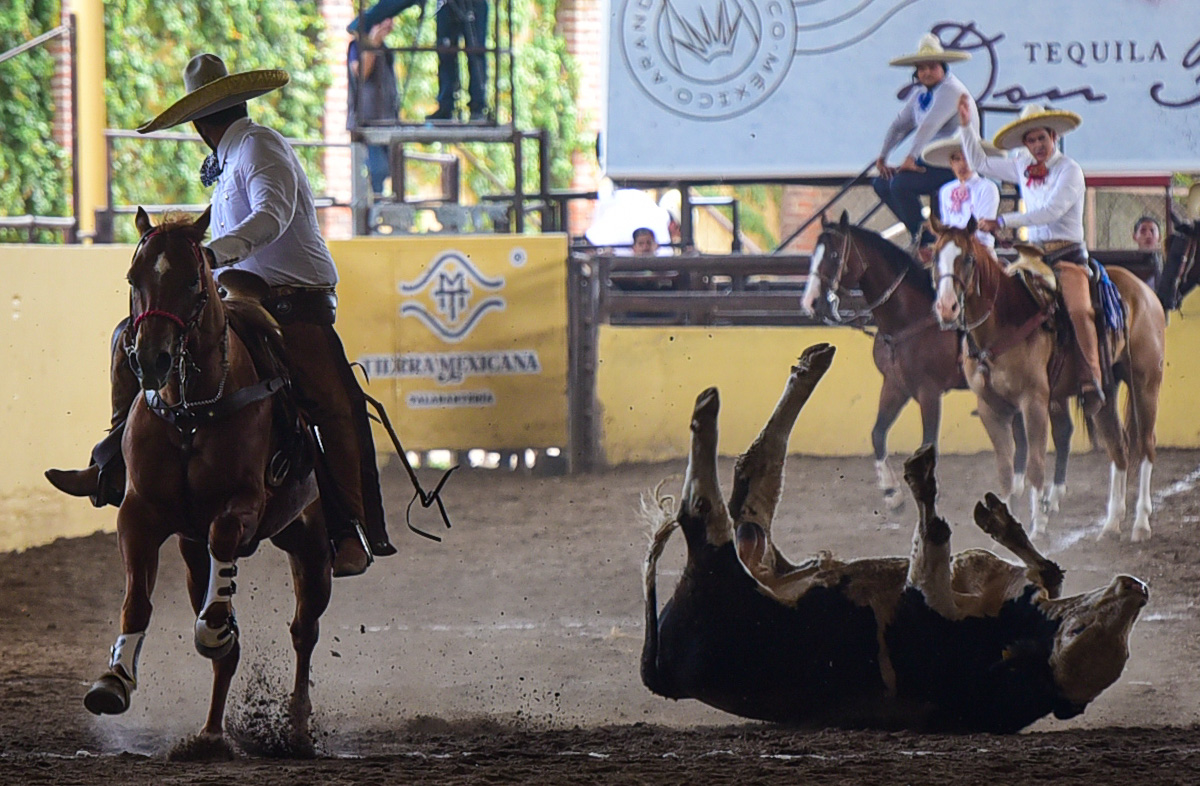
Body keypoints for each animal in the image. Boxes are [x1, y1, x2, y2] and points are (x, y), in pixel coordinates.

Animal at [82, 206, 331, 753]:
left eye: (194, 283)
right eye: (133, 278)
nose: (151, 360)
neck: (190, 413)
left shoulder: (242, 505)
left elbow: (223, 561)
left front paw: (214, 627)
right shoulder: (140, 513)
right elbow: (137, 601)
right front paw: (114, 680)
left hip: (311, 543)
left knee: (304, 630)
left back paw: (297, 726)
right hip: (193, 549)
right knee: (236, 652)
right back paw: (211, 733)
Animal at [796, 212, 1041, 513]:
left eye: (832, 254)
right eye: (813, 254)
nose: (810, 302)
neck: (909, 319)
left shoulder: (929, 392)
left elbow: (928, 445)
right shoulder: (895, 385)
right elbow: (878, 433)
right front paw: (892, 493)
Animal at [931, 218, 1166, 544]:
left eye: (967, 258)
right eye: (934, 257)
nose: (946, 307)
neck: (1004, 321)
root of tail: (1143, 290)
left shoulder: (1034, 402)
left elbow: (1035, 465)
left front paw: (1038, 525)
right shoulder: (991, 407)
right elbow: (1006, 471)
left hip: (1145, 383)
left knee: (1145, 445)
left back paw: (1141, 524)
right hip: (1104, 392)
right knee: (1119, 447)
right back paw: (1110, 524)